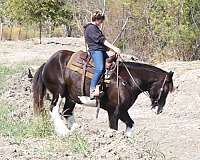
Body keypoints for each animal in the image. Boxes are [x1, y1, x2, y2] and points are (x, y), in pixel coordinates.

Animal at [32, 50, 173, 136]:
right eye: (166, 89)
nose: (159, 109)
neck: (127, 80)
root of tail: (47, 63)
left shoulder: (123, 111)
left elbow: (131, 123)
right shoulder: (115, 111)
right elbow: (114, 128)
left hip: (71, 97)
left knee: (67, 112)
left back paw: (77, 129)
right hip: (59, 92)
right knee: (54, 109)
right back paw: (64, 132)